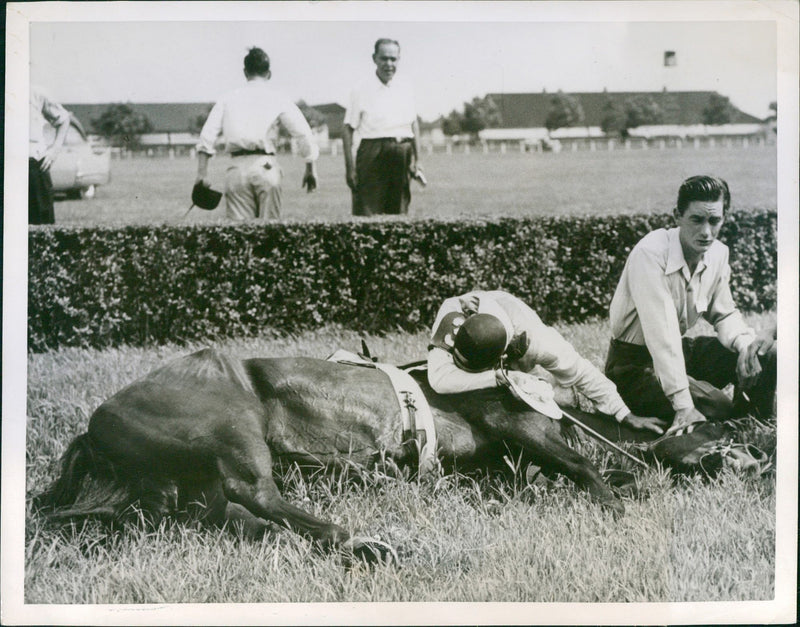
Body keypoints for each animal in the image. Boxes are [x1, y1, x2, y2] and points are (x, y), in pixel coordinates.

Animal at [34, 348, 764, 564]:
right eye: (709, 426)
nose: (757, 452)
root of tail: (96, 423)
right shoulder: (513, 417)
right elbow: (590, 468)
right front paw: (617, 501)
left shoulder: (500, 466)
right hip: (228, 421)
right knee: (255, 493)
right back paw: (368, 542)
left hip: (184, 481)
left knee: (222, 511)